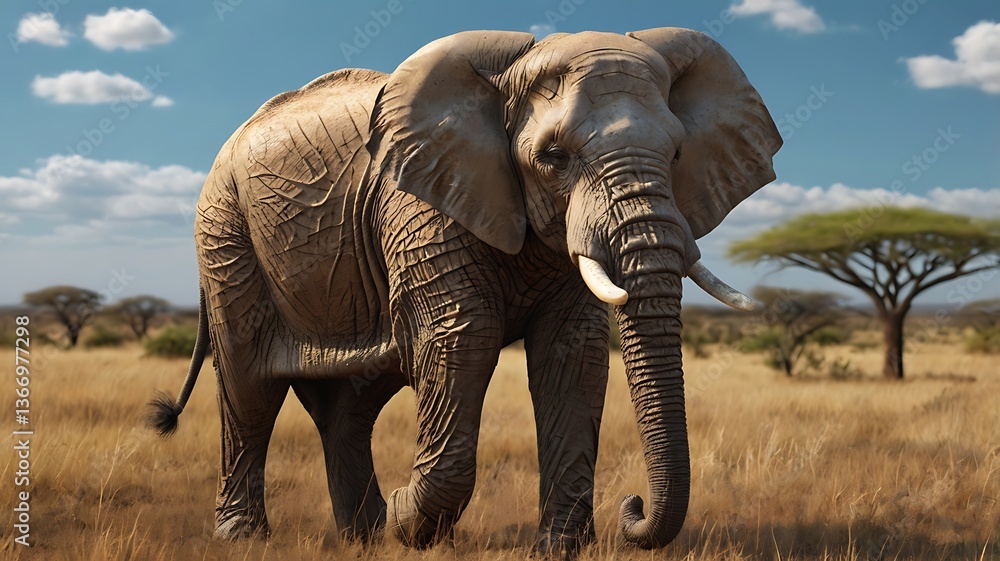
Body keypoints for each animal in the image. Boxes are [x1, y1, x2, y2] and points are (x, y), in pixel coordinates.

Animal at [146, 27, 781, 554]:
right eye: (555, 157)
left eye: (676, 154)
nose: (634, 505)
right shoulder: (421, 204)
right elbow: (459, 338)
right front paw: (410, 520)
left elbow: (572, 354)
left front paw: (555, 550)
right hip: (226, 234)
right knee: (249, 384)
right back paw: (248, 539)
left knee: (350, 405)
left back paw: (364, 536)